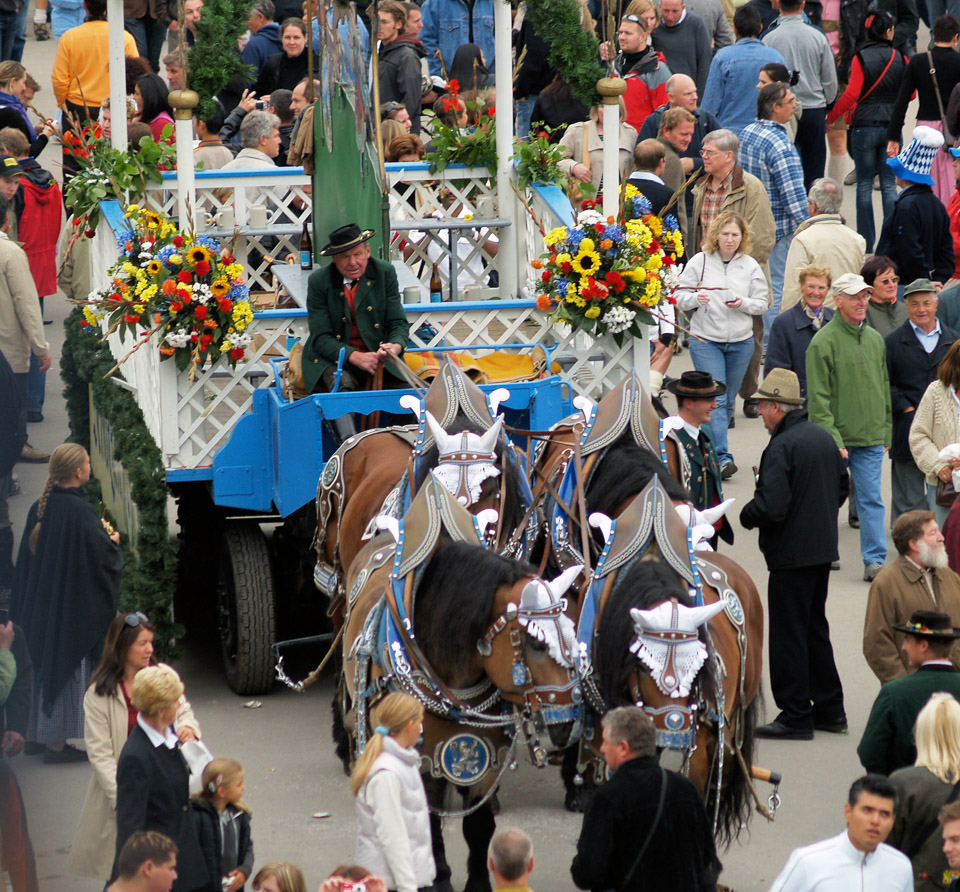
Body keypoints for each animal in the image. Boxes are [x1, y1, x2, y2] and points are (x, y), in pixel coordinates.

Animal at [334, 478, 580, 892]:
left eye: (571, 632)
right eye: (534, 641)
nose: (573, 718)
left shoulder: (483, 759)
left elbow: (478, 827)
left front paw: (478, 881)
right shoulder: (422, 758)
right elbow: (429, 821)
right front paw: (438, 878)